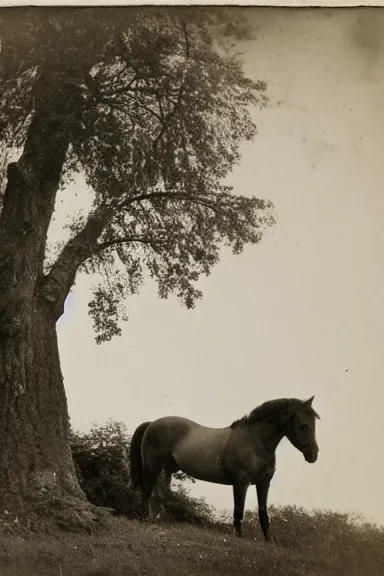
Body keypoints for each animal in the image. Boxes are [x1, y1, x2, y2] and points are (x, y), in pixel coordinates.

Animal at [127, 394, 320, 544]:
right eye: (304, 425)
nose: (313, 455)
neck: (255, 442)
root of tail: (152, 423)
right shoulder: (241, 483)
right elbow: (238, 511)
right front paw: (240, 537)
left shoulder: (263, 483)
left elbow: (263, 513)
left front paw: (268, 541)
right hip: (152, 467)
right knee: (146, 490)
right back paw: (144, 518)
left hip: (167, 470)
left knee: (159, 494)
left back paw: (160, 519)